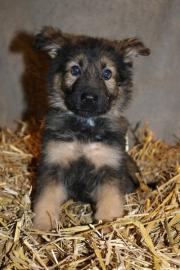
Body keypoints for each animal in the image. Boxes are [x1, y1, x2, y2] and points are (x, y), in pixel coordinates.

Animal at [32, 26, 150, 230]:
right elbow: (46, 201)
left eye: (107, 73)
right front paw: (43, 227)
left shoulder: (109, 167)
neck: (85, 128)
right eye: (75, 70)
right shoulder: (54, 163)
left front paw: (109, 227)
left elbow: (110, 202)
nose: (89, 98)